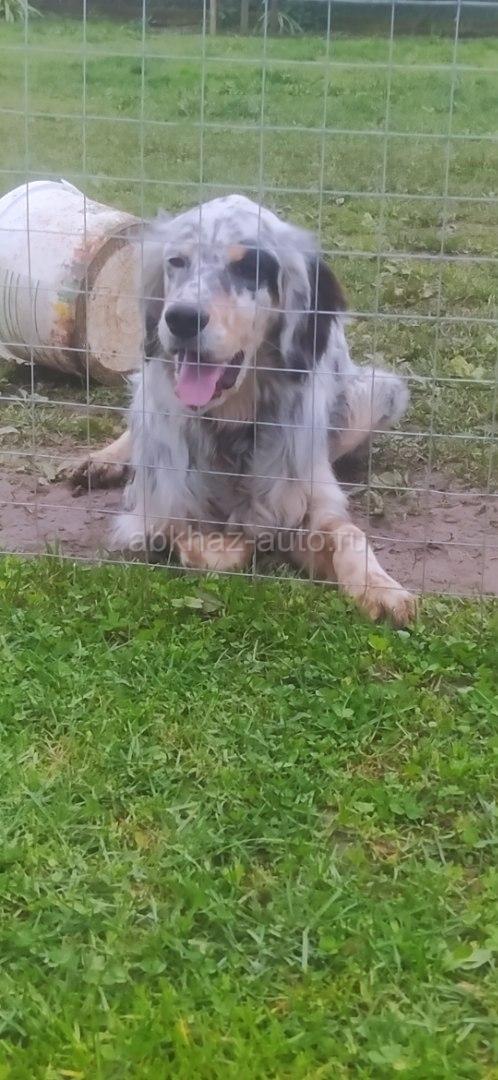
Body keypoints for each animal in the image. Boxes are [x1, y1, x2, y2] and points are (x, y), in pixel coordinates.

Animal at [69, 194, 416, 625]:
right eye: (176, 261)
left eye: (248, 267)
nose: (181, 318)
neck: (231, 423)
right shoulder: (155, 509)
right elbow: (206, 546)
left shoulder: (306, 502)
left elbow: (348, 533)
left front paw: (380, 587)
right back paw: (104, 460)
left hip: (376, 394)